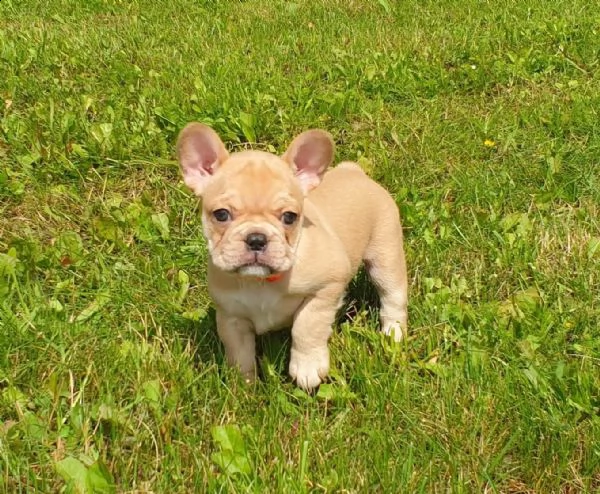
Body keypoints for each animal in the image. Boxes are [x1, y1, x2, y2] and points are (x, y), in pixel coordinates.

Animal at [175, 122, 408, 390]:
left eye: (289, 217)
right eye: (221, 214)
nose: (257, 238)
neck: (260, 282)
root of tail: (354, 171)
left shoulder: (327, 287)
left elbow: (306, 326)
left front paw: (307, 367)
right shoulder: (230, 317)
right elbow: (239, 353)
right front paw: (243, 385)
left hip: (385, 254)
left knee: (392, 296)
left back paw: (393, 333)